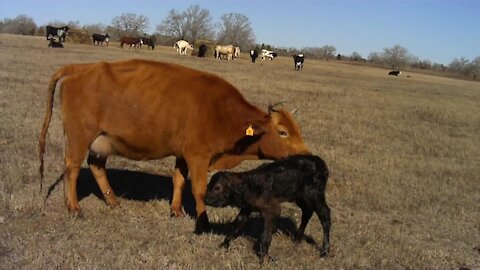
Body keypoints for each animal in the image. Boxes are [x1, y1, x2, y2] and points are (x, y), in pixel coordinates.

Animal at [36, 59, 308, 234]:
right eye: (283, 132)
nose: (305, 154)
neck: (223, 112)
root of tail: (81, 68)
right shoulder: (198, 156)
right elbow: (199, 190)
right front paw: (204, 223)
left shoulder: (183, 155)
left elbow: (178, 180)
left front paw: (176, 211)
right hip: (80, 137)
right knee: (72, 169)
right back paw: (74, 208)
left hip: (101, 142)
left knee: (96, 167)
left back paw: (113, 202)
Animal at [204, 155, 332, 262]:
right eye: (208, 186)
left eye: (217, 188)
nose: (205, 200)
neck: (248, 185)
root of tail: (321, 163)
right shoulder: (246, 208)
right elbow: (236, 225)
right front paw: (224, 244)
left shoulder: (272, 209)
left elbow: (266, 235)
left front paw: (264, 258)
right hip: (300, 196)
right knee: (307, 211)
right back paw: (297, 239)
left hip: (314, 194)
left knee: (325, 215)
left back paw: (325, 251)